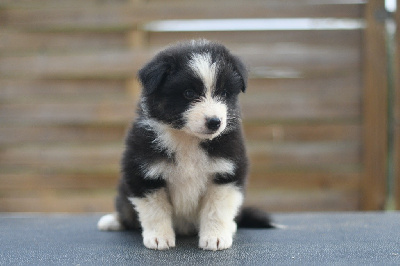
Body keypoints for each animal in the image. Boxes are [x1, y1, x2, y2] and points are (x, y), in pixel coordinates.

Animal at [97, 39, 272, 249]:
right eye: (189, 93)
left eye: (223, 93)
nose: (215, 122)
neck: (188, 138)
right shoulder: (143, 174)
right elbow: (155, 209)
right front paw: (159, 238)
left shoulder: (226, 172)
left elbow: (216, 209)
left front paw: (215, 237)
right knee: (126, 209)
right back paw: (113, 221)